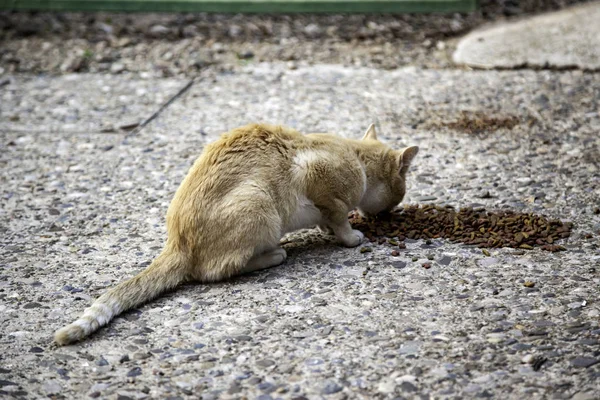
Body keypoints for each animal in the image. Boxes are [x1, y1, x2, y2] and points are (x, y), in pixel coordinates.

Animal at [54, 123, 418, 346]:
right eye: (400, 193)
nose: (391, 212)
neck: (353, 155)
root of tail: (176, 242)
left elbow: (329, 221)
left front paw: (329, 230)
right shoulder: (319, 179)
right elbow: (340, 219)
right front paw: (350, 237)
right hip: (258, 204)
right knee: (214, 271)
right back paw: (273, 254)